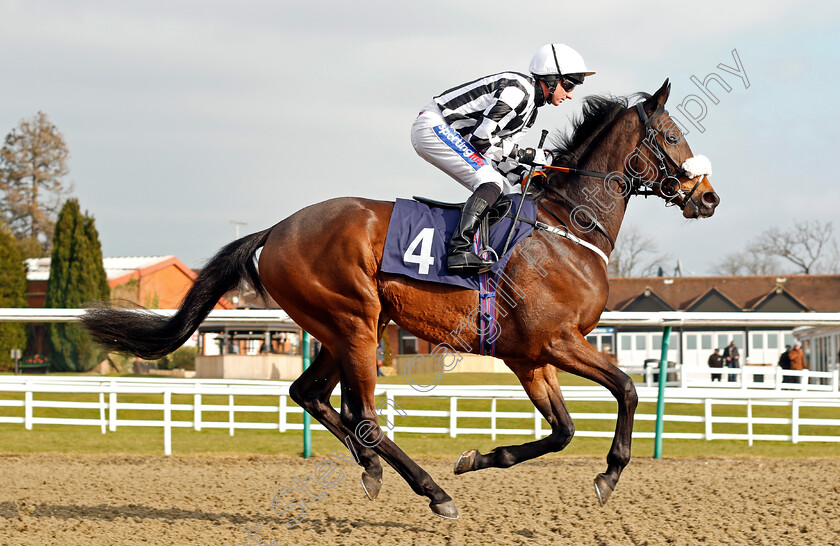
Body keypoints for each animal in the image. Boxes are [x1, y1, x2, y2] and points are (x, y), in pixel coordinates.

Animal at [82, 81, 720, 520]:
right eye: (672, 137)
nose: (708, 197)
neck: (567, 227)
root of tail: (276, 230)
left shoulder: (529, 357)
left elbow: (562, 431)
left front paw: (477, 458)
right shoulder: (556, 341)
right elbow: (629, 388)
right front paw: (609, 475)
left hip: (342, 327)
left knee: (310, 395)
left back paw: (373, 470)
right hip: (355, 321)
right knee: (362, 415)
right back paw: (433, 493)